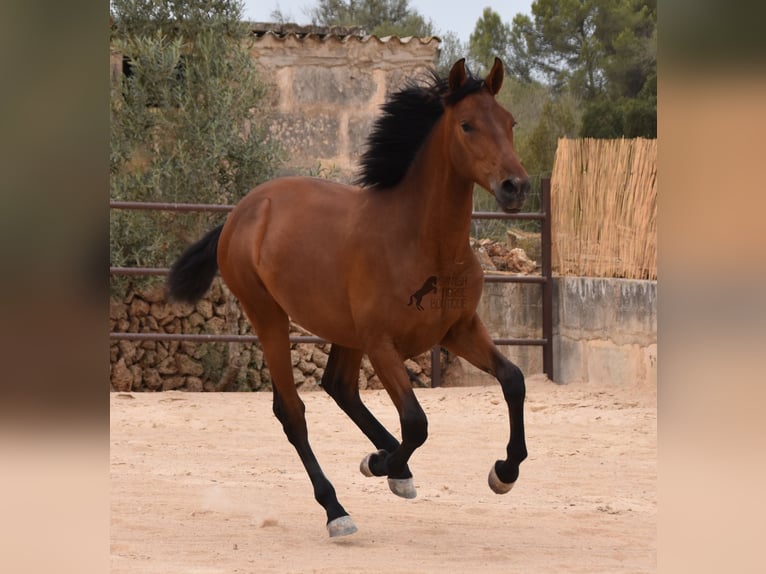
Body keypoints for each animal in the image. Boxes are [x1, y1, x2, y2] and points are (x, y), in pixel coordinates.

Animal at [169, 56, 532, 536]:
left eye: (510, 122)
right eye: (467, 125)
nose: (516, 187)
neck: (424, 244)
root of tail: (241, 212)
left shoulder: (459, 330)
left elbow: (513, 380)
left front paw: (503, 473)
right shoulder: (382, 344)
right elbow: (416, 422)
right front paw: (379, 465)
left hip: (344, 332)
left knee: (339, 387)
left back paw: (395, 469)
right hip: (270, 318)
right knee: (293, 412)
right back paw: (338, 509)